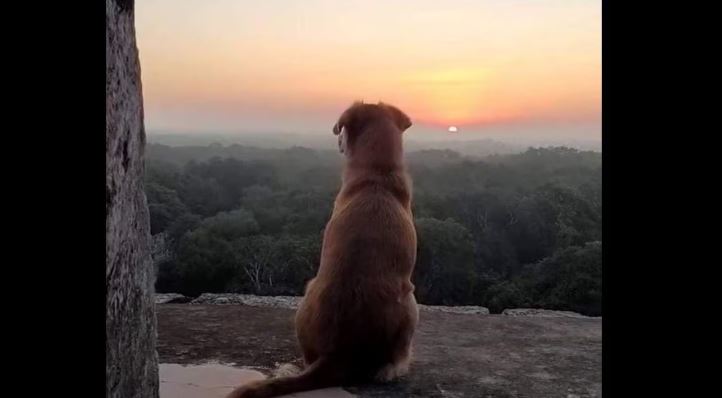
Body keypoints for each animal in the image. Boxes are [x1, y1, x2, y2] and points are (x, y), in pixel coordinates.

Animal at [225, 101, 416, 396]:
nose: (336, 138)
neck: (377, 175)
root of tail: (339, 354)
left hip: (307, 296)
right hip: (411, 301)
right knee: (391, 361)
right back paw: (394, 368)